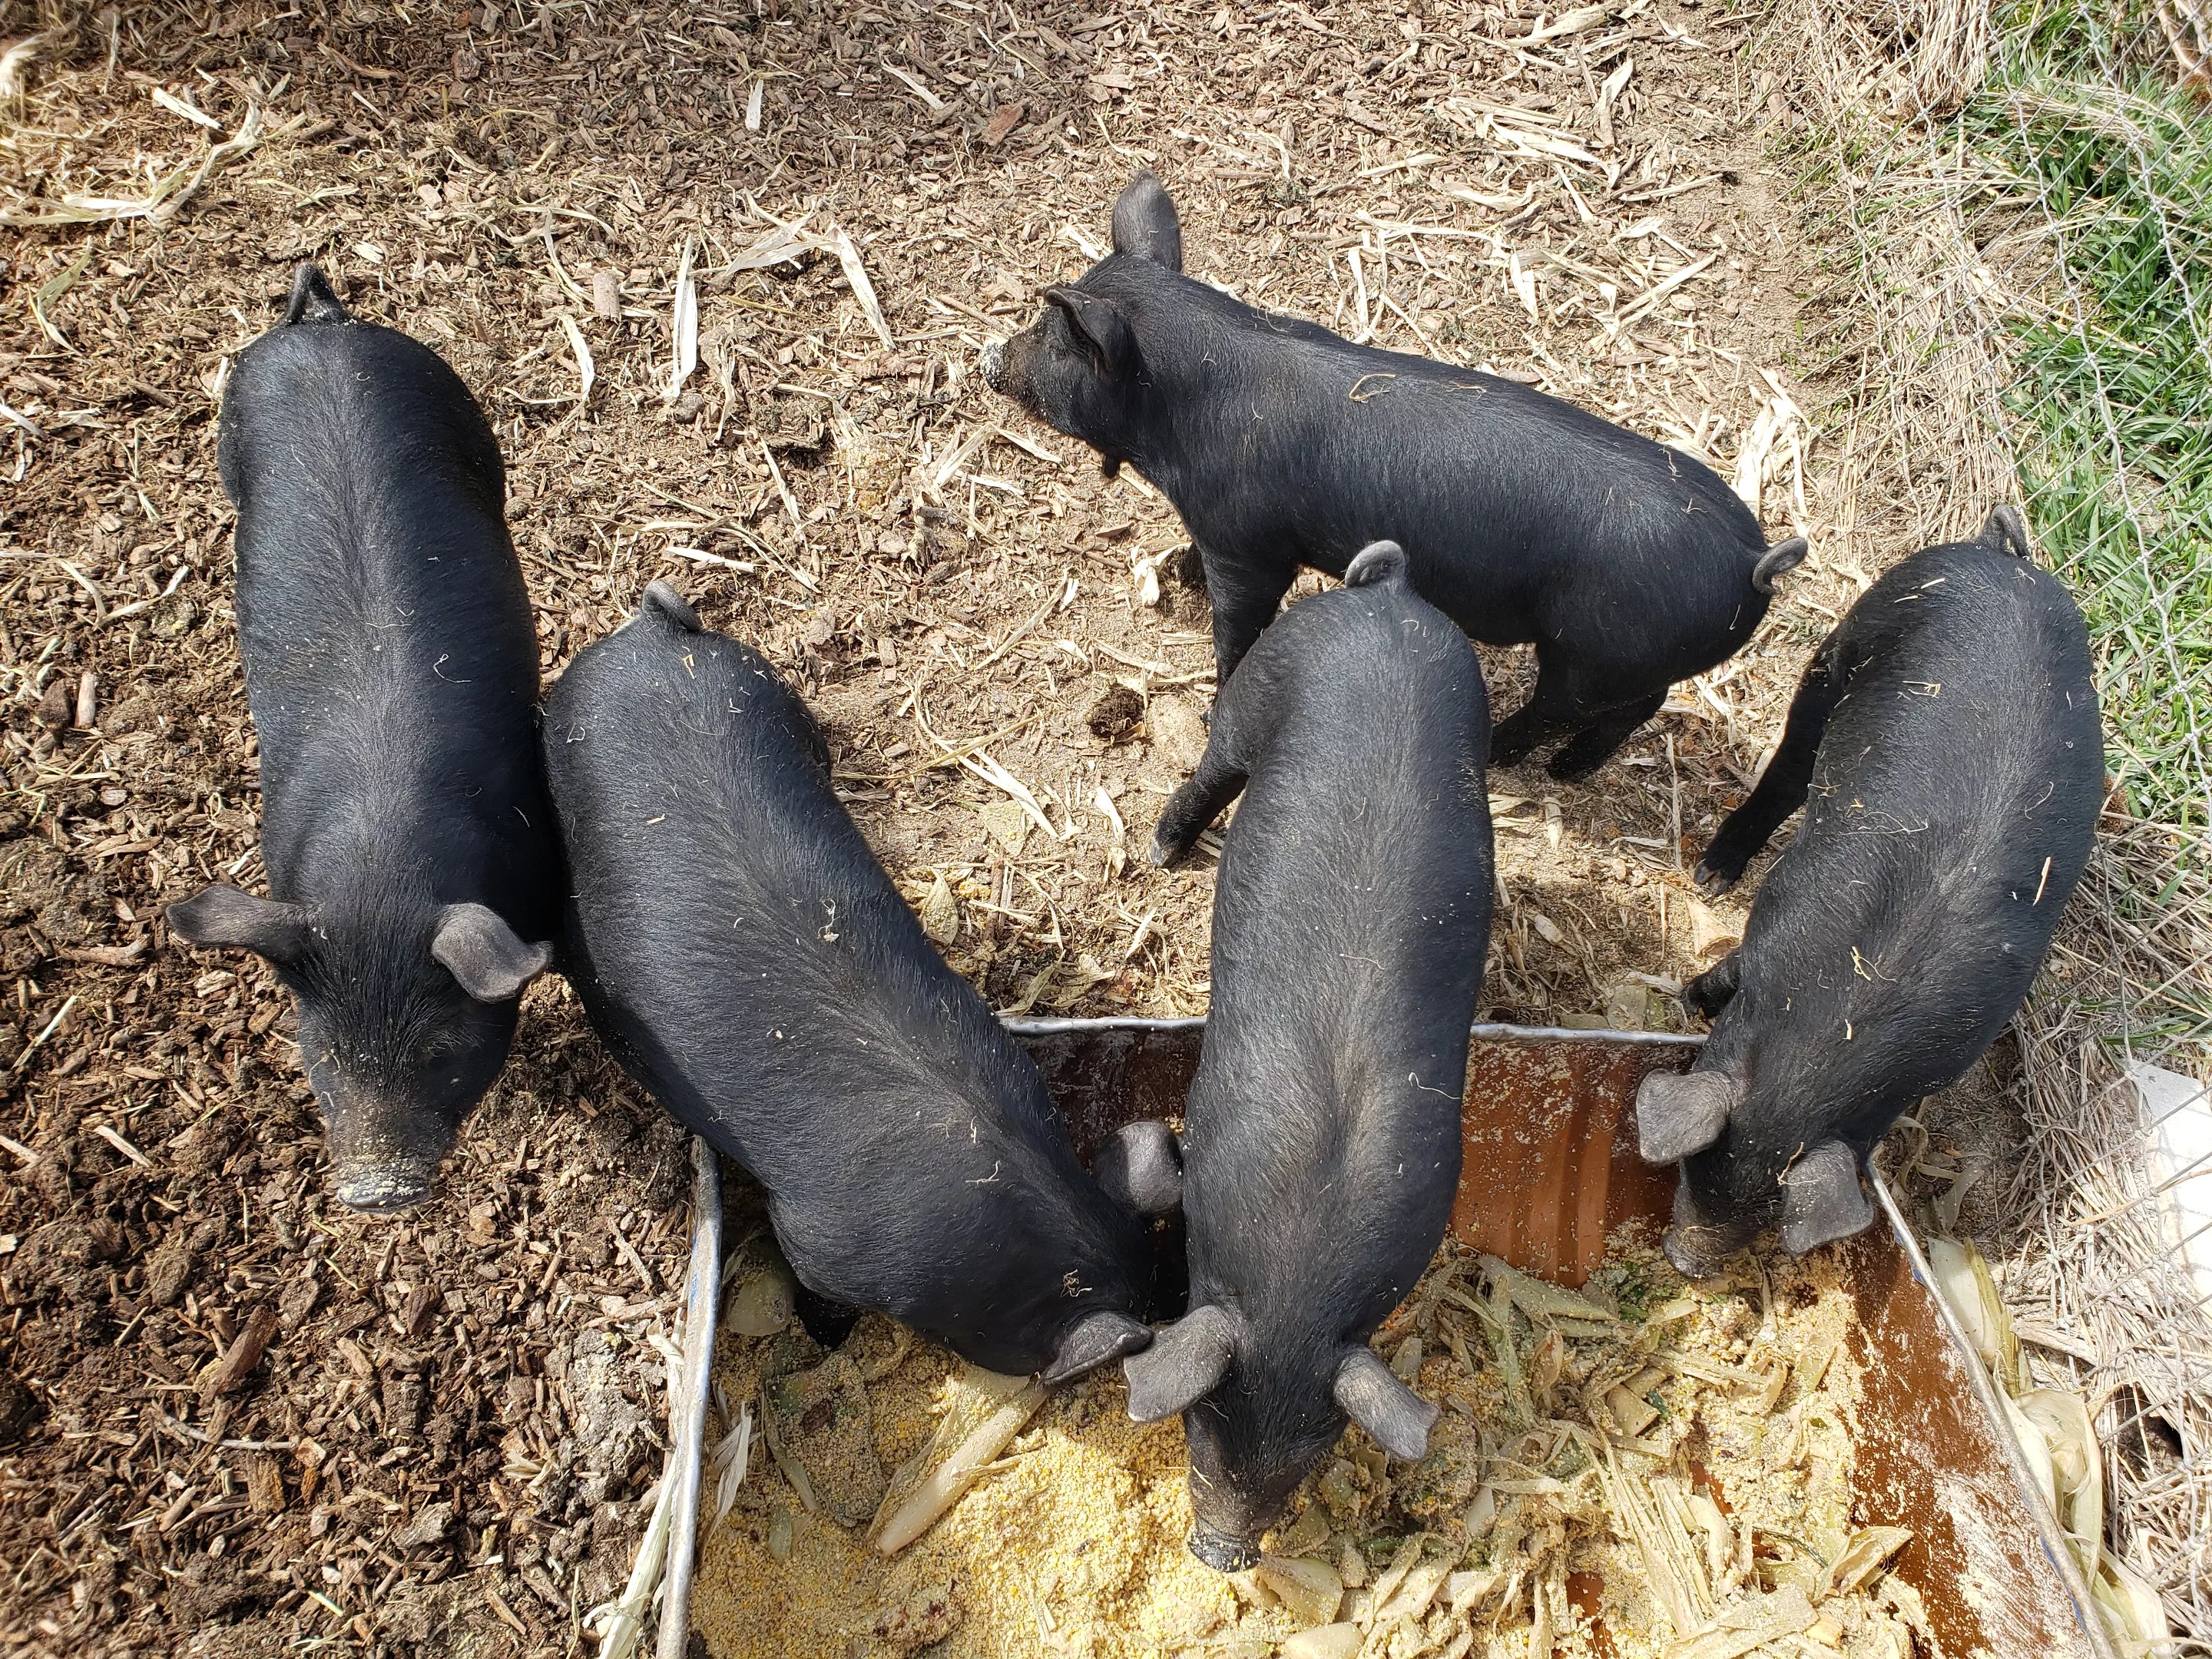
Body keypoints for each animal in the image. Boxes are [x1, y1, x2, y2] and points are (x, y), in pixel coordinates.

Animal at [166, 264, 558, 1215]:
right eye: (324, 1055)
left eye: (439, 1053)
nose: (376, 1191)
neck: (380, 874)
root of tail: (321, 328)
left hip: (458, 408)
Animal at [982, 171, 1808, 780]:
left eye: (1055, 340)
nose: (989, 358)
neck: (1177, 423)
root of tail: (1751, 561)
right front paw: (1179, 572)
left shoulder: (1250, 544)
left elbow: (1238, 627)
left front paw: (1218, 696)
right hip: (1630, 656)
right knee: (1641, 706)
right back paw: (1568, 772)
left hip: (1595, 651)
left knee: (1573, 707)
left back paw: (1516, 762)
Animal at [1123, 541, 1494, 1570]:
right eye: (1198, 1433)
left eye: (1307, 1464)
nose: (1222, 1553)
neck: (1296, 1262)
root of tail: (1389, 596)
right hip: (1267, 678)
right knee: (1212, 764)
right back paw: (1163, 851)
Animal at [1636, 507, 2101, 1274]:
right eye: (1692, 1169)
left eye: (1767, 1216)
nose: (1685, 1262)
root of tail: (2001, 557)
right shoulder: (1777, 919)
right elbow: (1729, 970)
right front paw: (1691, 999)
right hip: (1849, 643)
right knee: (1790, 768)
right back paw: (1711, 875)